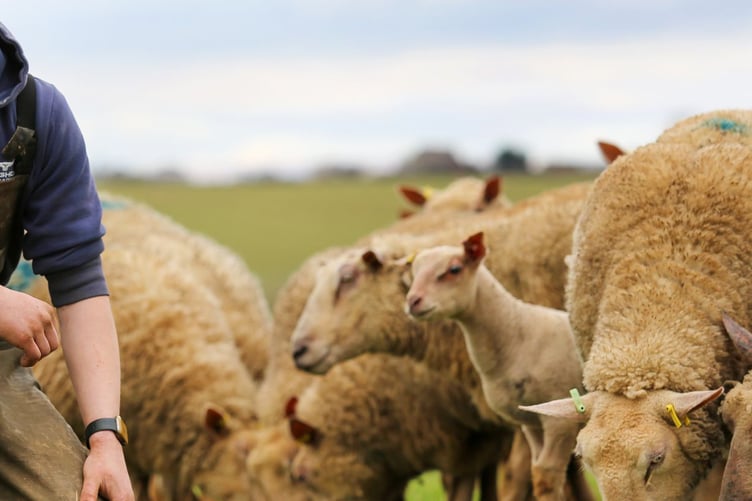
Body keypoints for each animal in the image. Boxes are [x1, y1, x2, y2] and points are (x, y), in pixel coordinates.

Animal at [405, 231, 584, 501]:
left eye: (454, 269)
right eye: (414, 273)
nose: (412, 301)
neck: (516, 333)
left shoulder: (560, 422)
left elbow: (547, 479)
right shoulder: (530, 422)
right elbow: (537, 471)